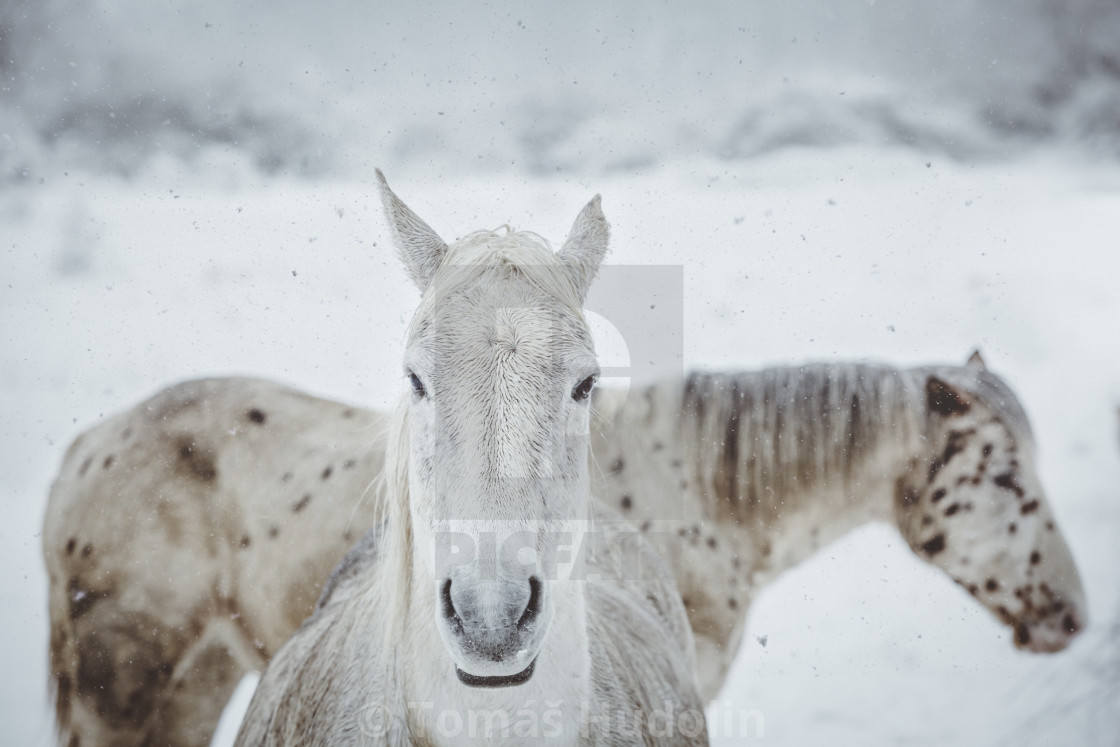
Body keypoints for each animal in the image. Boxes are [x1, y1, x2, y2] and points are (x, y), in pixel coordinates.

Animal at [45, 362, 1084, 743]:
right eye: (1007, 481)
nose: (1071, 613)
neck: (692, 485)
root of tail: (86, 447)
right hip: (123, 688)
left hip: (194, 680)